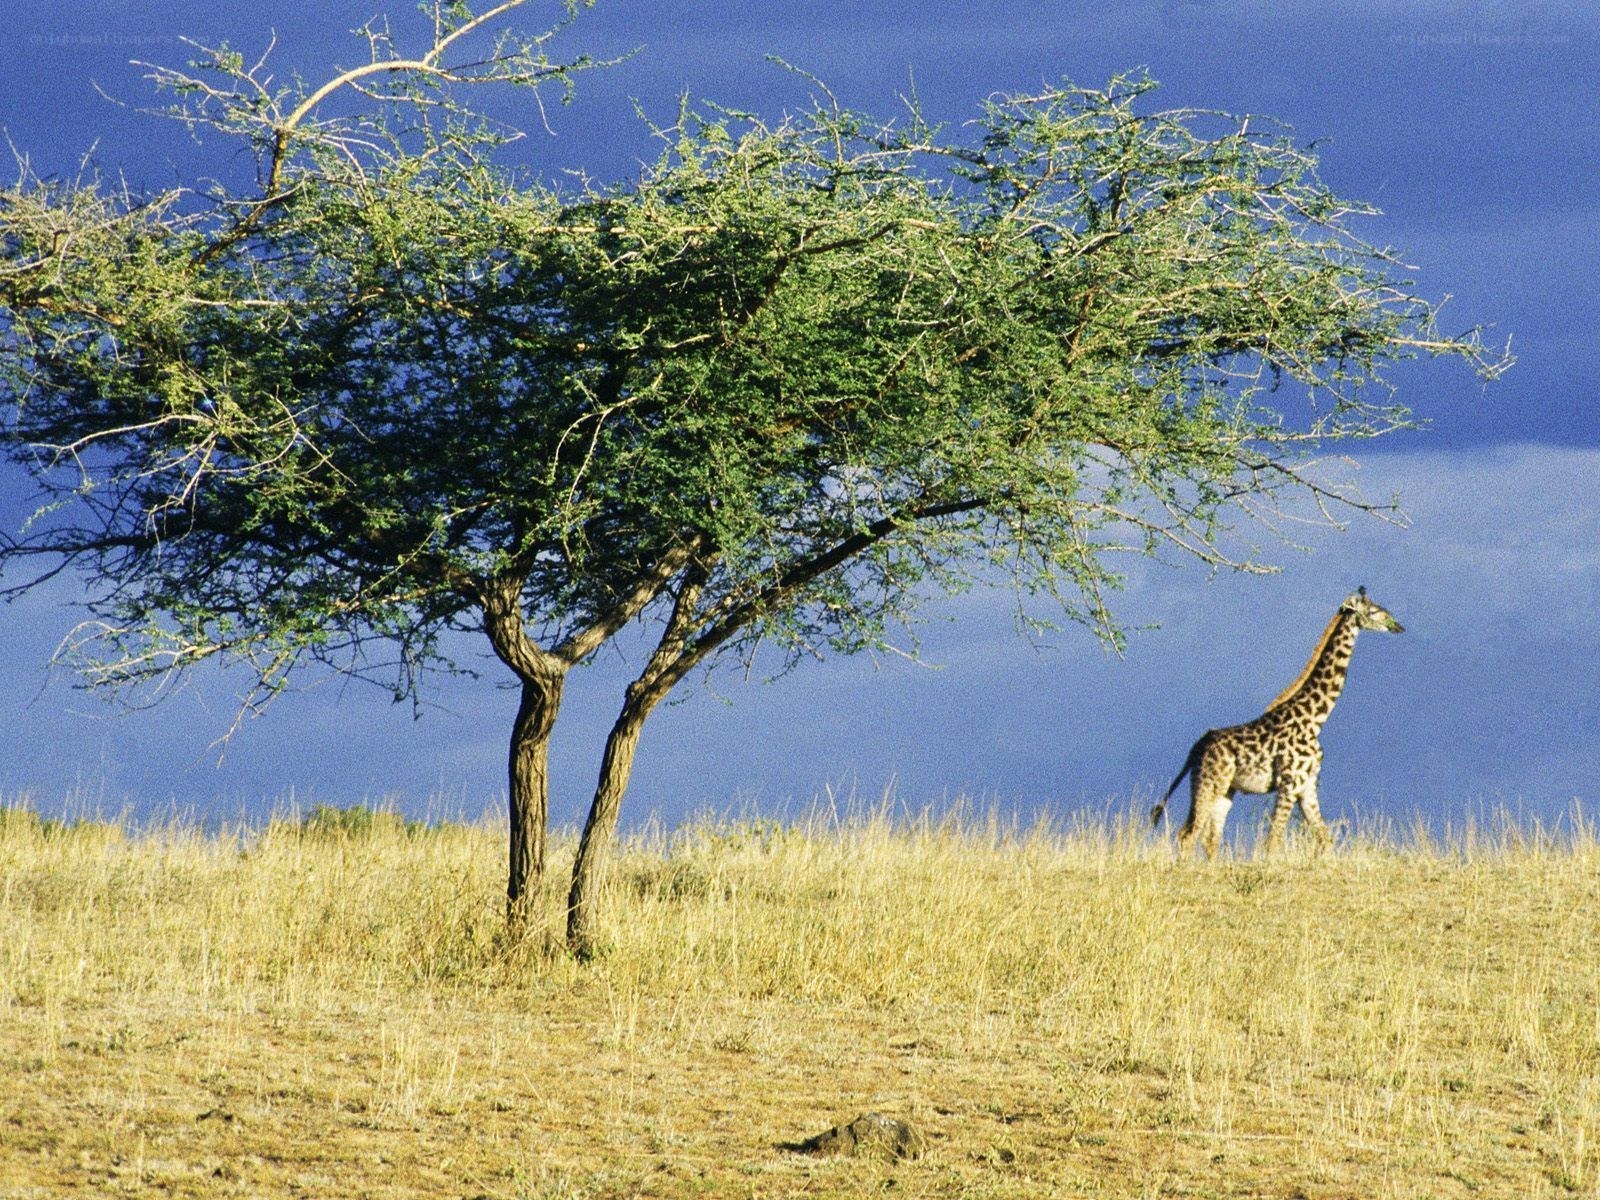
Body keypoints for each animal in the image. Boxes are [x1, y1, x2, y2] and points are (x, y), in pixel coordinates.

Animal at [1149, 587, 1404, 858]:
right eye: (1374, 611)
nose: (1398, 626)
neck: (1316, 719)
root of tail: (1195, 749)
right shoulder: (1289, 784)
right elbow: (1273, 841)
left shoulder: (1308, 786)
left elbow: (1325, 839)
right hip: (1210, 783)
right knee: (1188, 834)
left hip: (1225, 789)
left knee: (1209, 838)